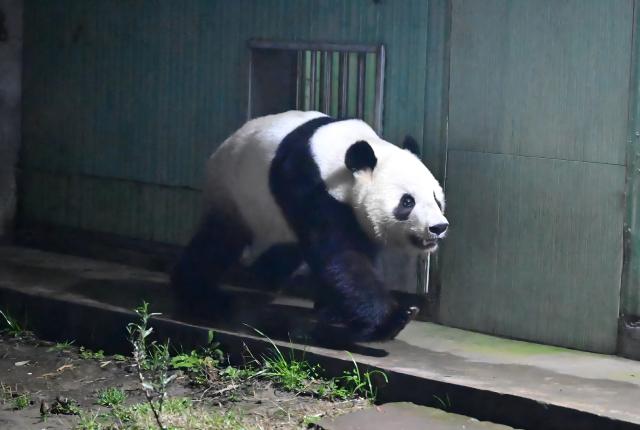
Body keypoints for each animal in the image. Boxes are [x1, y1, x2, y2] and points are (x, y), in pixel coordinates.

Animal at [171, 110, 448, 342]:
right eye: (407, 202)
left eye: (436, 198)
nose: (438, 227)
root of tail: (223, 146)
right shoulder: (306, 184)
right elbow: (341, 256)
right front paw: (394, 318)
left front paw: (336, 311)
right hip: (234, 193)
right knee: (217, 243)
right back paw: (199, 295)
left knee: (283, 252)